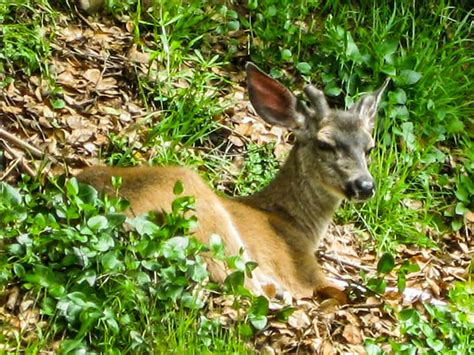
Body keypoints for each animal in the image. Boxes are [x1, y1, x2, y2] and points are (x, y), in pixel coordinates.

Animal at [77, 64, 388, 304]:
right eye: (324, 143)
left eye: (369, 148)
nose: (365, 186)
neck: (294, 224)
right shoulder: (304, 272)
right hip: (207, 215)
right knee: (246, 290)